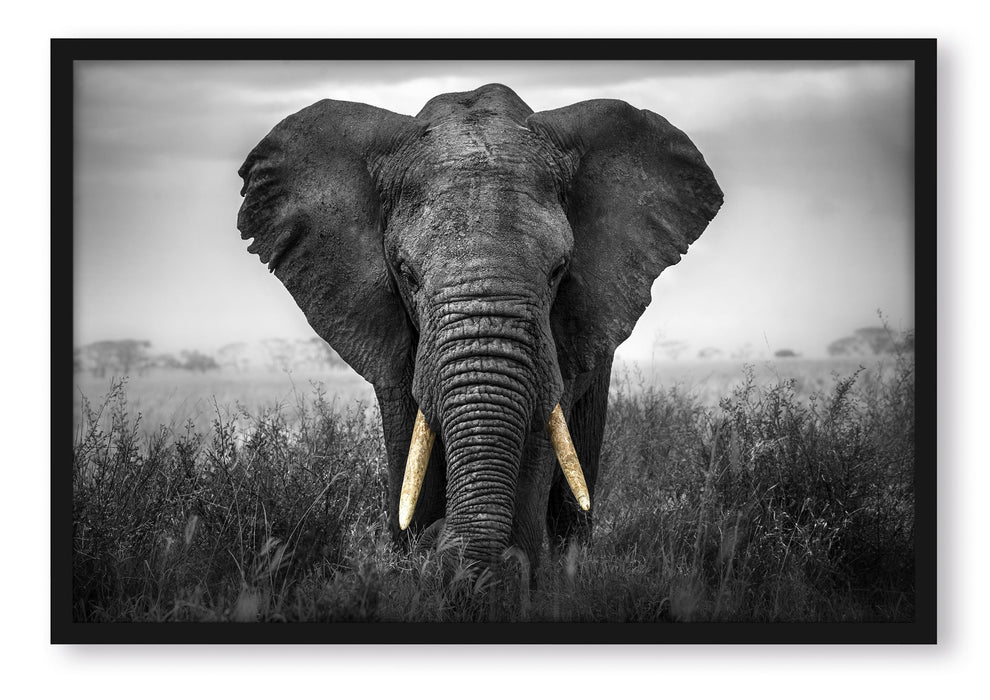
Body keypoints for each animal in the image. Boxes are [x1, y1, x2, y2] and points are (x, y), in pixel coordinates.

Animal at [236, 83, 722, 578]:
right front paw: (415, 562)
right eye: (407, 274)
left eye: (558, 271)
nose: (439, 542)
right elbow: (409, 434)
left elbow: (540, 432)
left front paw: (509, 575)